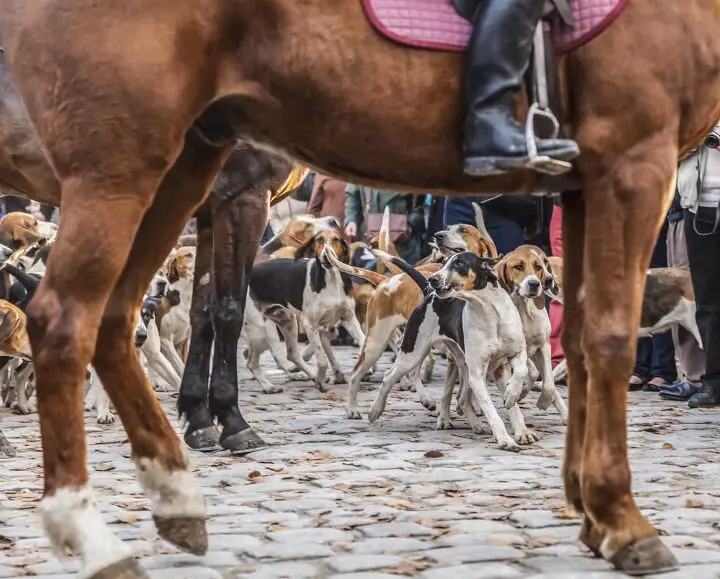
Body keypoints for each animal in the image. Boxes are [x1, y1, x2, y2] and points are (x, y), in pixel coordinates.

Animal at [0, 0, 716, 576]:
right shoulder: (633, 159)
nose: (438, 256)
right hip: (120, 167)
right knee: (67, 320)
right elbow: (607, 340)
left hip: (171, 171)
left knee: (116, 319)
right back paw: (91, 530)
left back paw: (175, 492)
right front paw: (620, 518)